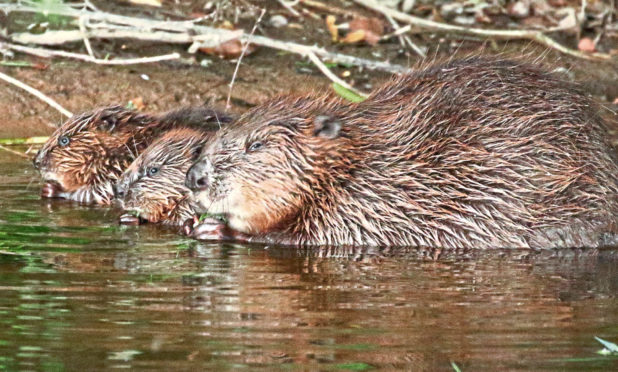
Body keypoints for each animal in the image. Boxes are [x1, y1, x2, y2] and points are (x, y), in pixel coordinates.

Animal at [185, 57, 616, 250]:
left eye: (256, 145)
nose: (196, 177)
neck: (359, 163)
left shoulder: (364, 207)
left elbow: (306, 237)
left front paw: (215, 229)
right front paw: (195, 223)